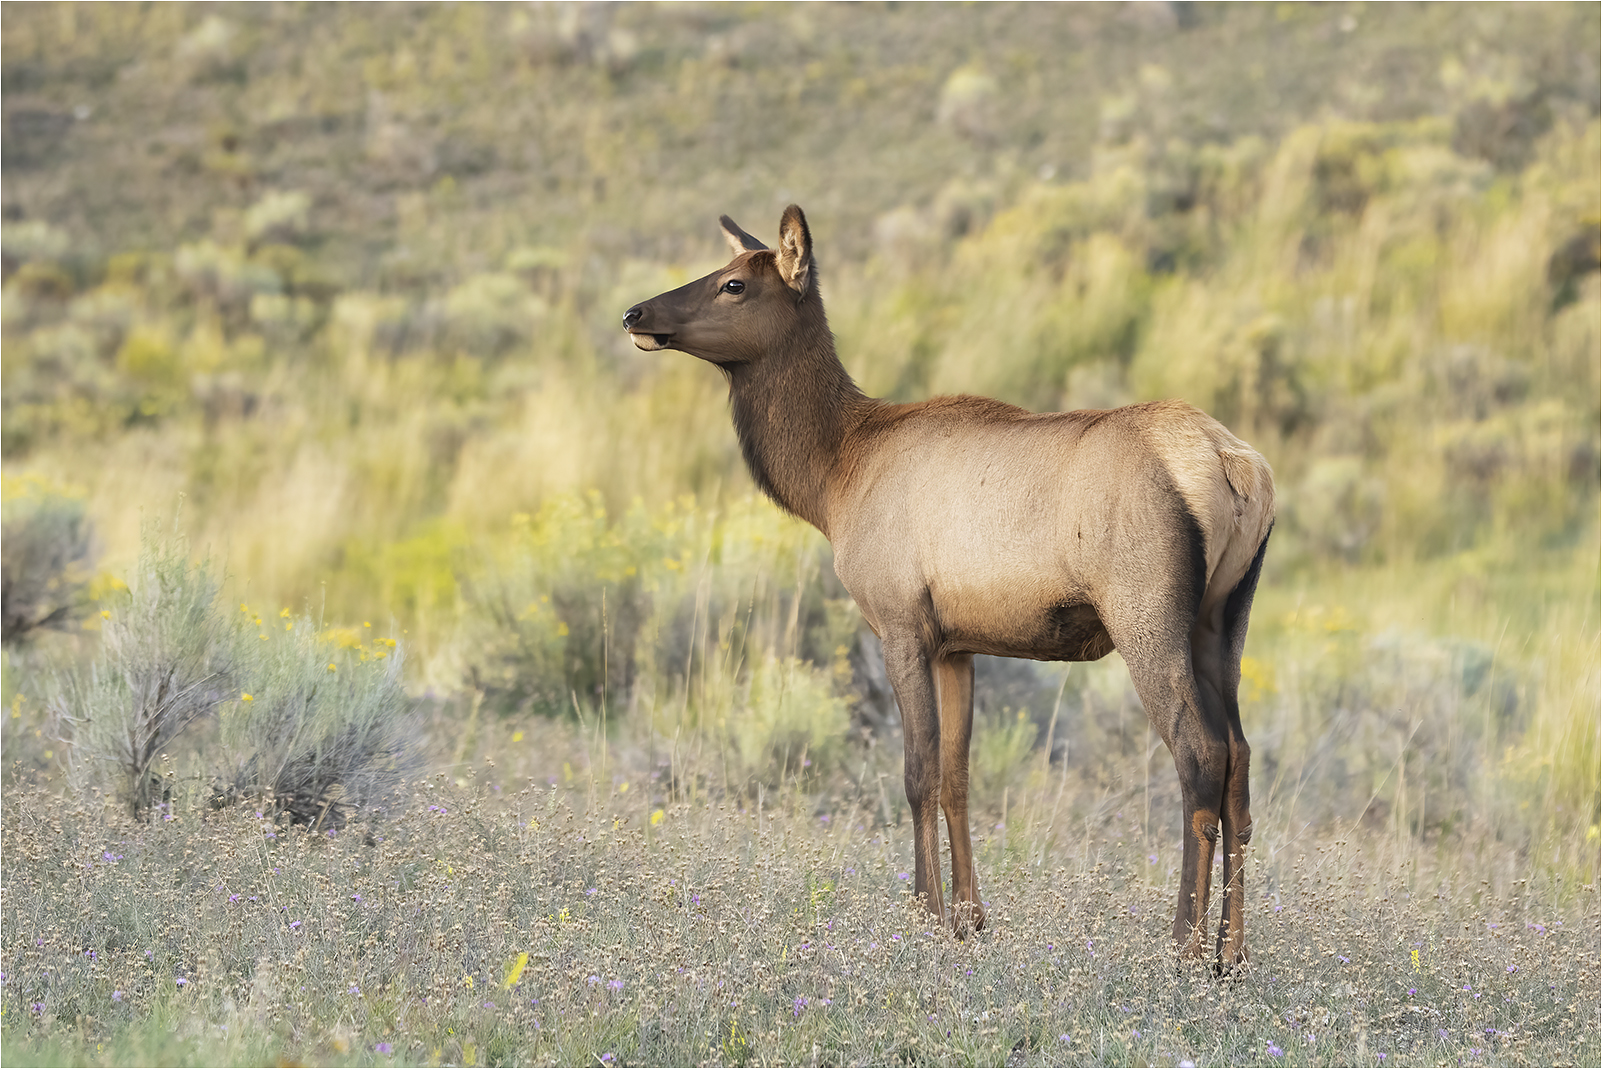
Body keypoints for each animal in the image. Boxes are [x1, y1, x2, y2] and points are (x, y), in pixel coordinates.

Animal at [622, 205, 1275, 971]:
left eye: (733, 284)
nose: (636, 311)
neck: (832, 476)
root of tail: (1235, 465)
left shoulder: (899, 622)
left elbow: (917, 773)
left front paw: (924, 915)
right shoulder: (956, 645)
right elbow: (959, 776)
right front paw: (970, 920)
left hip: (1147, 613)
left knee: (1198, 755)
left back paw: (1182, 950)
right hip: (1223, 620)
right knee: (1240, 760)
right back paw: (1232, 955)